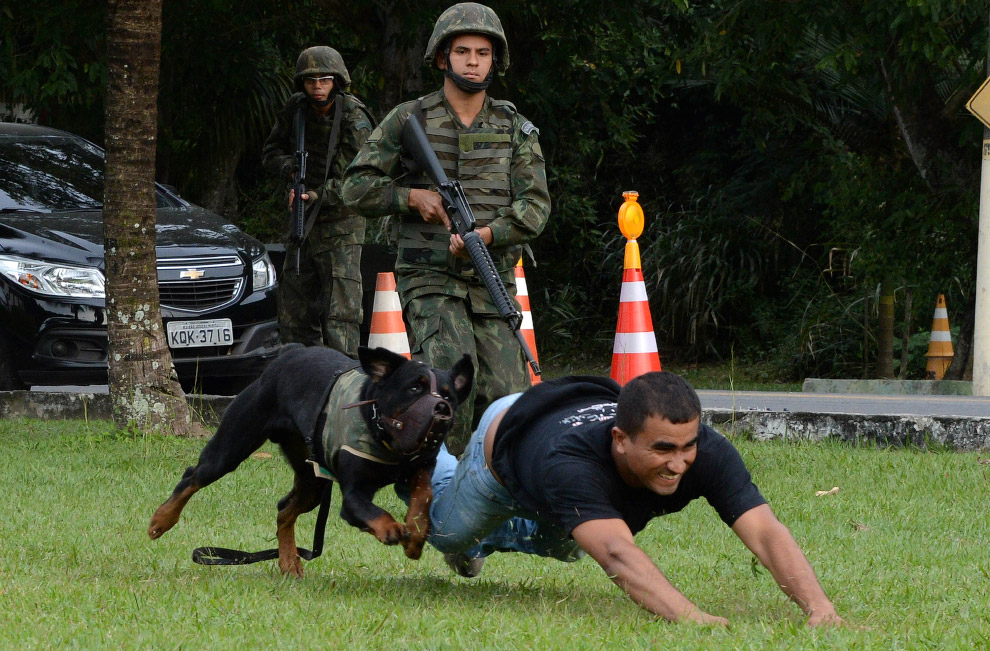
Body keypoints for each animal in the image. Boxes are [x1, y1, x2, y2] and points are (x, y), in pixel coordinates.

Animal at [147, 346, 472, 576]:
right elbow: (370, 510)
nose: (441, 409)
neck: (388, 442)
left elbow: (425, 494)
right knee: (193, 476)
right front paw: (391, 528)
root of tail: (287, 354)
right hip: (234, 441)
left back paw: (289, 561)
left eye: (448, 396)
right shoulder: (353, 496)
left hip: (312, 478)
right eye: (415, 388)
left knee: (284, 509)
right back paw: (161, 520)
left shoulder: (421, 466)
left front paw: (416, 534)